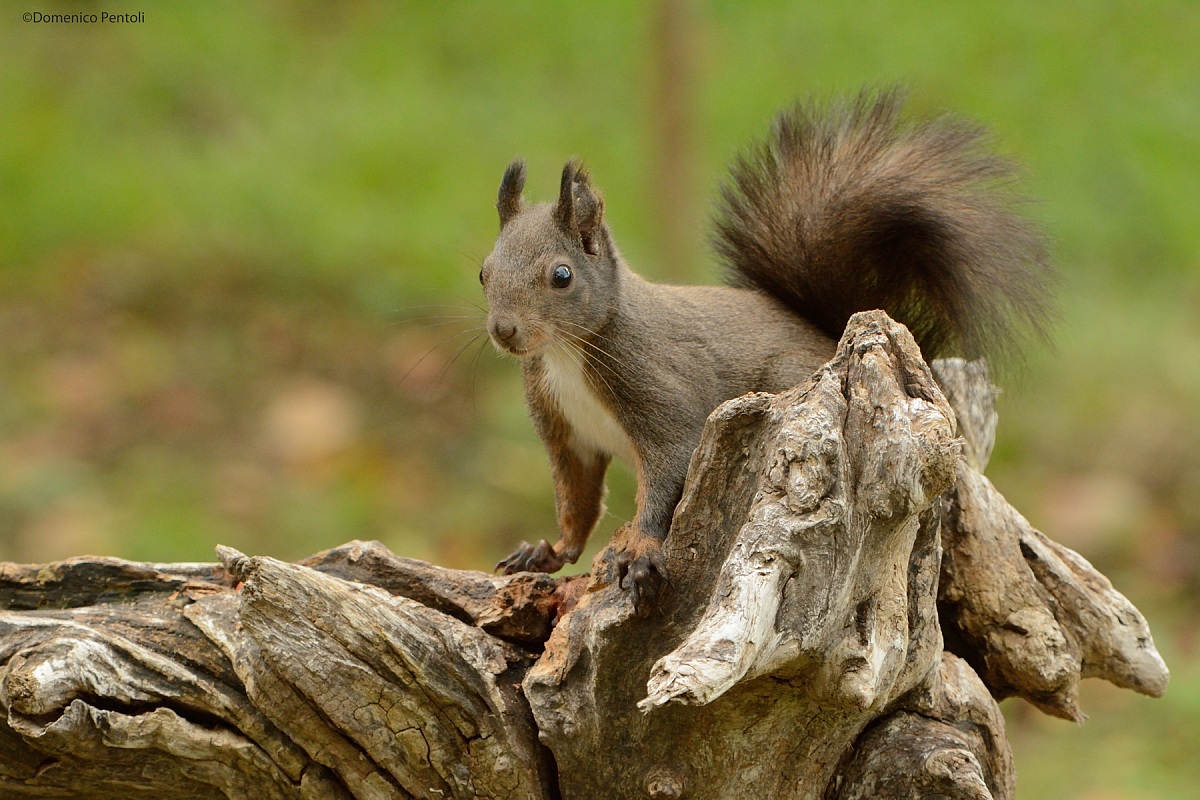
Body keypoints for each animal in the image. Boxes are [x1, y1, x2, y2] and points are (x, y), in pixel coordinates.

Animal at [482, 89, 1053, 614]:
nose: (503, 331)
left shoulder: (661, 393)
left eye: (561, 276)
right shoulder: (568, 433)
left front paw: (639, 552)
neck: (567, 354)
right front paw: (548, 550)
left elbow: (667, 474)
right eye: (485, 272)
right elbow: (576, 500)